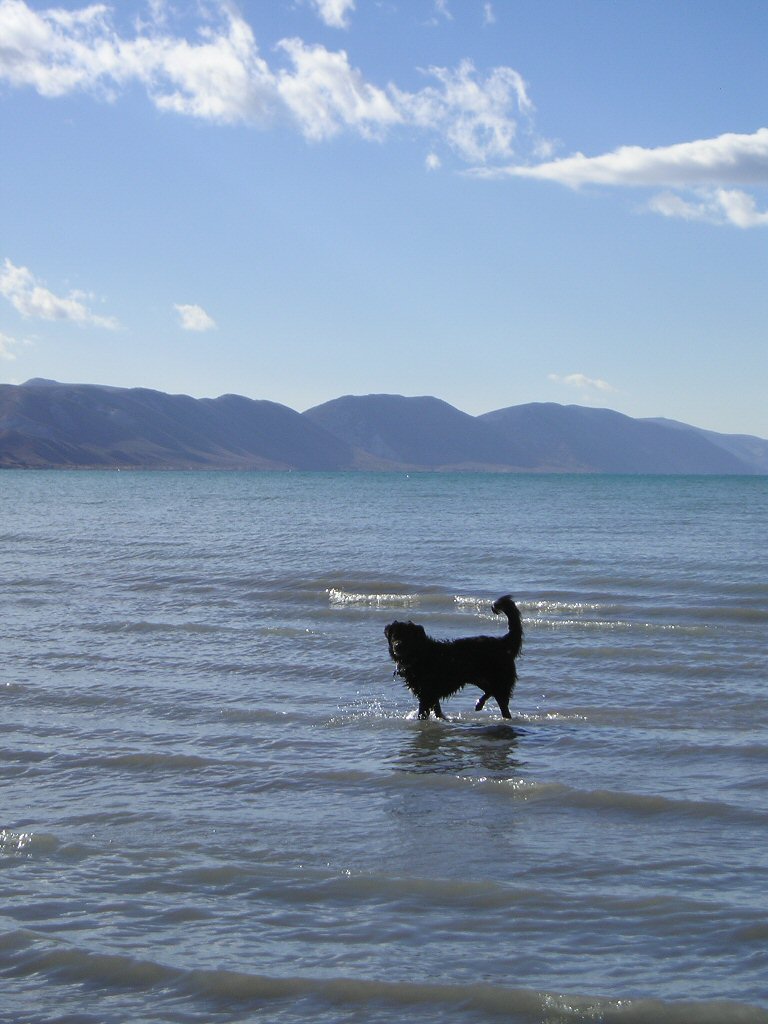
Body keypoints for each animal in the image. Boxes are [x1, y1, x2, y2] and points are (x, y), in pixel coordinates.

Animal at [385, 593, 524, 720]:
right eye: (394, 636)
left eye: (407, 636)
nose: (397, 646)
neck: (419, 654)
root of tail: (503, 642)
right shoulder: (431, 693)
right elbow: (437, 710)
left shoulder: (426, 693)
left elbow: (423, 712)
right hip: (480, 678)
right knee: (491, 691)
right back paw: (480, 704)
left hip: (497, 679)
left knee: (501, 700)